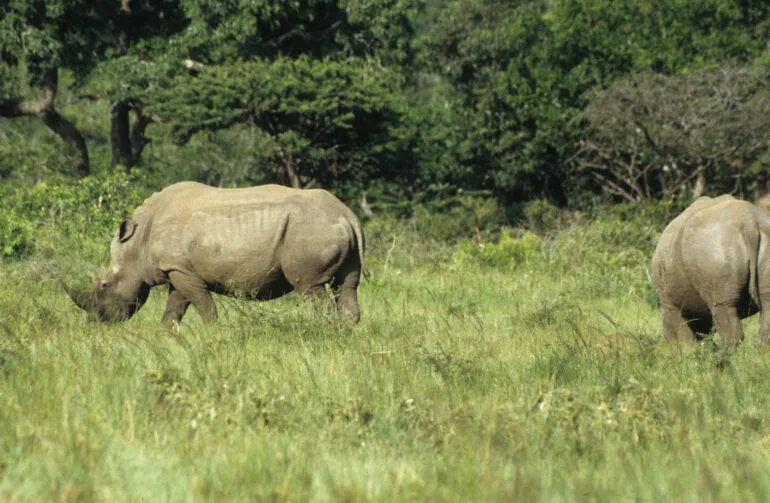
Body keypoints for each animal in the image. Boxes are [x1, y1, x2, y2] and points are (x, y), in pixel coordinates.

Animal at [66, 182, 367, 324]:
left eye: (105, 285)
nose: (95, 322)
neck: (137, 243)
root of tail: (346, 213)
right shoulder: (177, 270)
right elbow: (173, 311)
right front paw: (167, 338)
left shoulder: (182, 271)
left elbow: (205, 308)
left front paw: (215, 339)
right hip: (329, 228)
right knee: (346, 284)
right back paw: (344, 336)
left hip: (310, 231)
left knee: (310, 287)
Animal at [651, 194, 770, 346]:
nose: (662, 346)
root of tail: (749, 222)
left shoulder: (670, 304)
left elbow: (684, 337)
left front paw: (685, 350)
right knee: (766, 302)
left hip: (715, 247)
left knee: (722, 305)